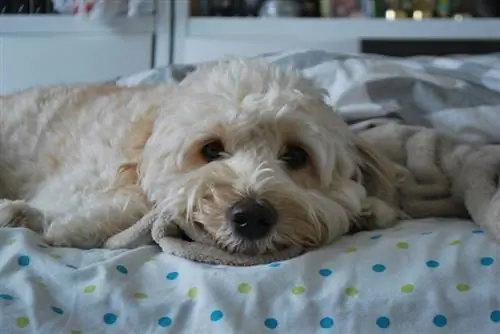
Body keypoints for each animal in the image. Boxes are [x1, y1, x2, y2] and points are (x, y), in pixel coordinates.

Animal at [0, 58, 400, 256]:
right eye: (211, 150)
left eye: (296, 155)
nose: (252, 217)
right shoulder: (85, 177)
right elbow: (126, 202)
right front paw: (62, 225)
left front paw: (372, 210)